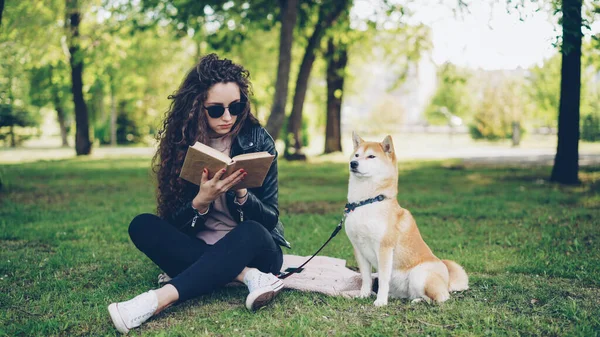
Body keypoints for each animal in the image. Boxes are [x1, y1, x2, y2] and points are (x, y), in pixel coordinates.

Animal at [342, 132, 468, 304]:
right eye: (356, 155)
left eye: (371, 156)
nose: (353, 163)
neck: (366, 202)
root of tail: (447, 281)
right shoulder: (358, 248)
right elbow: (366, 278)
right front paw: (363, 295)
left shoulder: (385, 248)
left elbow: (383, 279)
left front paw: (380, 302)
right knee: (411, 294)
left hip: (419, 274)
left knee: (440, 297)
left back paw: (418, 301)